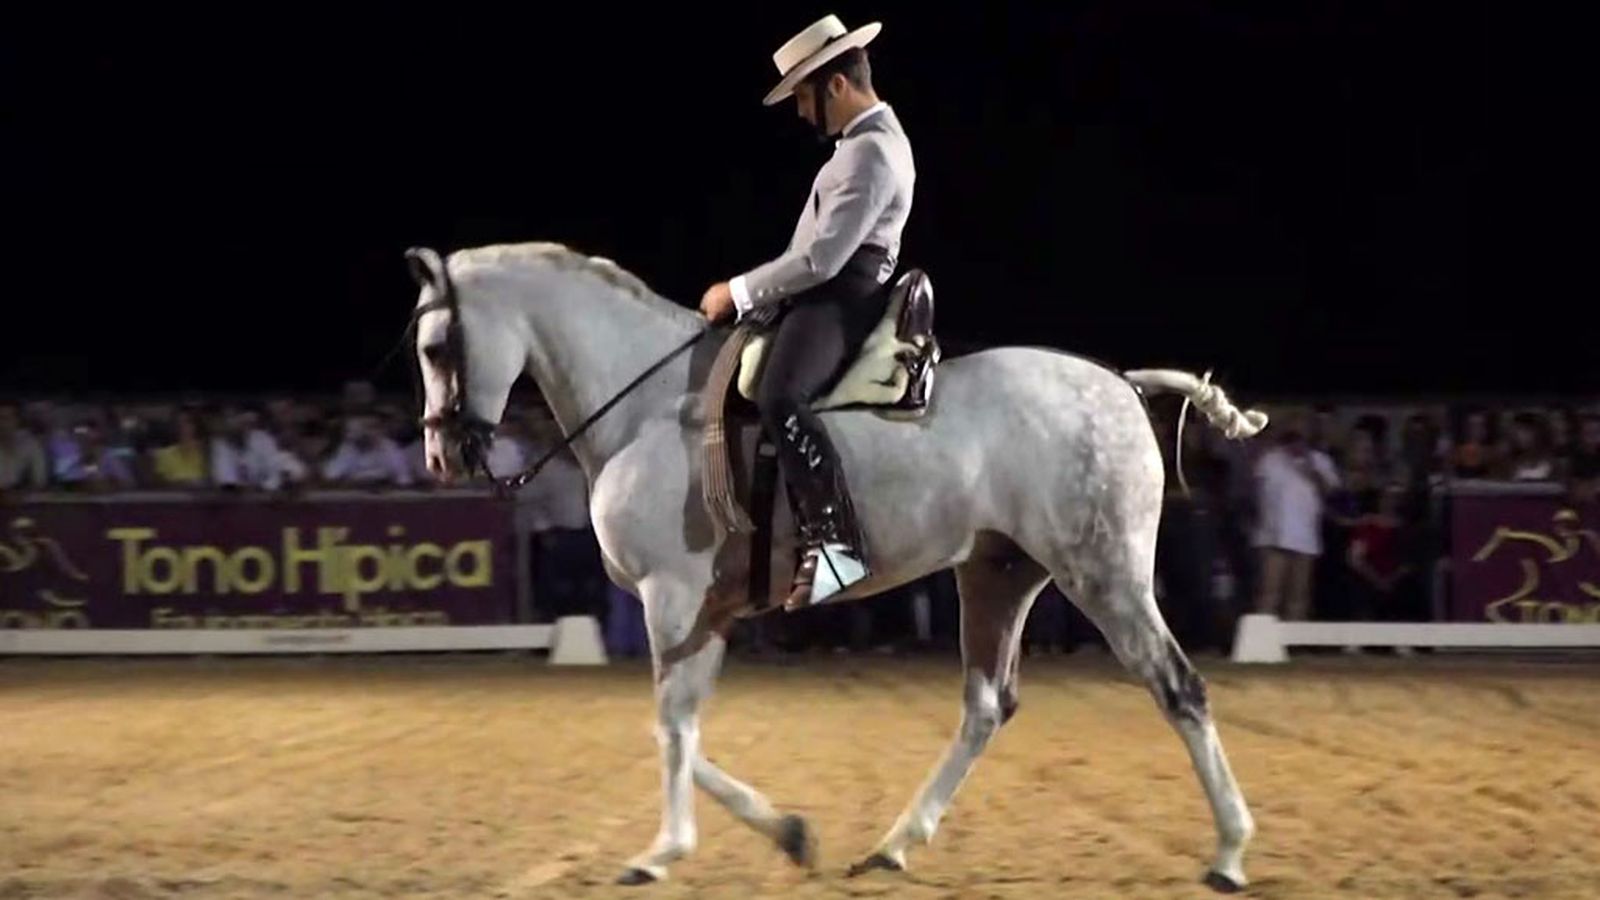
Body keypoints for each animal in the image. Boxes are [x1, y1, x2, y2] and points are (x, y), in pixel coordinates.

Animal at [403, 240, 1263, 892]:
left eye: (437, 348)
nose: (444, 456)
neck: (648, 407)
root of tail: (1120, 383)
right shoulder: (705, 613)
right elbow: (681, 731)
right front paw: (789, 832)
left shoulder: (672, 599)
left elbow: (672, 727)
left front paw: (662, 852)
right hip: (998, 575)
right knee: (987, 706)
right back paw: (892, 844)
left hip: (1104, 574)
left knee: (1179, 689)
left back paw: (1228, 852)